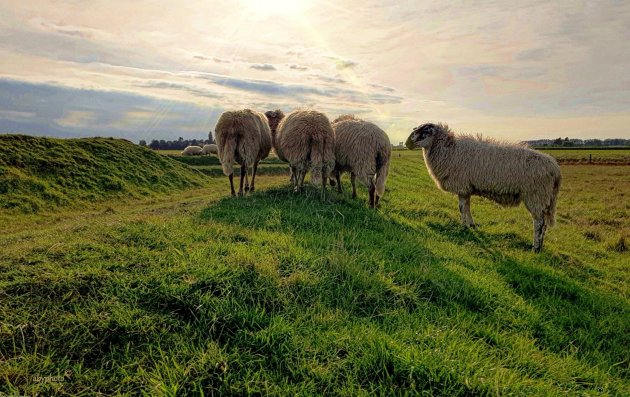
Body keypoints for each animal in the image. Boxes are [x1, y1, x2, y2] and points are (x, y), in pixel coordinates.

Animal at [410, 122, 564, 252]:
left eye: (425, 131)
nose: (409, 141)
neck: (449, 150)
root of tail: (555, 168)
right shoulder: (466, 188)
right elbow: (467, 207)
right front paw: (471, 225)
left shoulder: (461, 186)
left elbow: (462, 208)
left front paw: (463, 226)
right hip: (544, 198)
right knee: (544, 224)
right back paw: (540, 246)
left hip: (536, 195)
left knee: (539, 223)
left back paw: (535, 248)